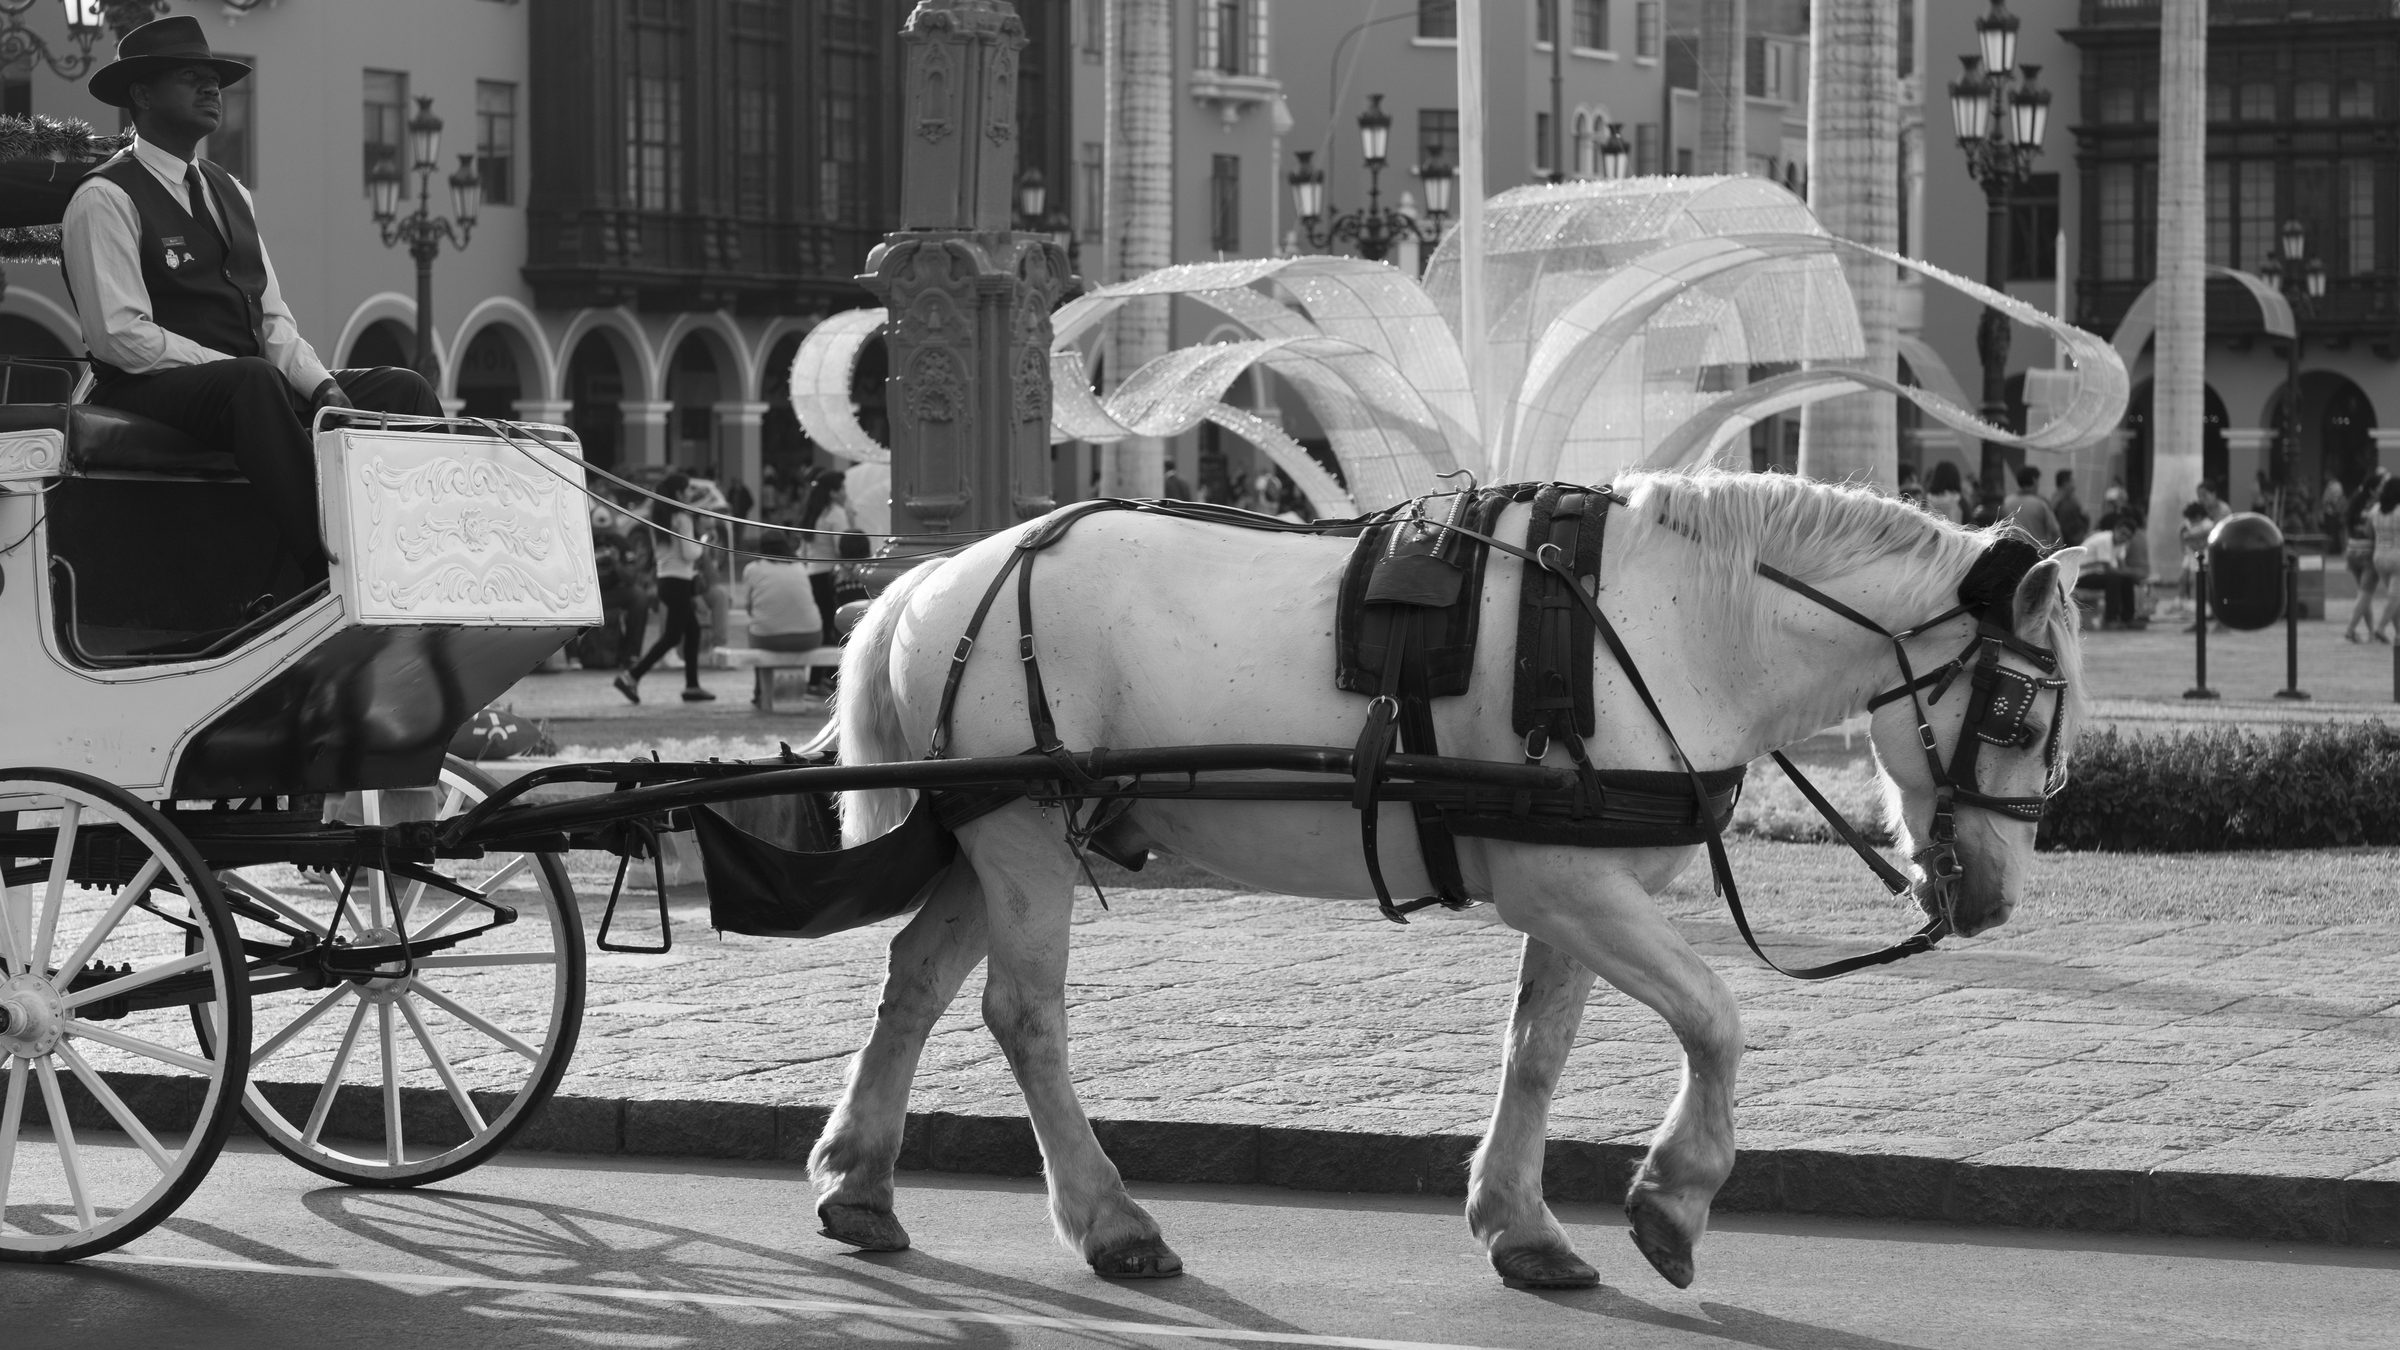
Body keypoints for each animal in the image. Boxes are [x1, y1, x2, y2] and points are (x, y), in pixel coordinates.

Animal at [805, 468, 2086, 1290]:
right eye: (2020, 712)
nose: (1994, 899)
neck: (1662, 624)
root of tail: (939, 575)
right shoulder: (1567, 887)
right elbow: (1716, 1019)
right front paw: (1673, 1198)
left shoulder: (1574, 881)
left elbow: (1537, 1051)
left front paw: (1520, 1224)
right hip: (1025, 834)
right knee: (1023, 1015)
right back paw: (1109, 1220)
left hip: (992, 830)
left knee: (915, 979)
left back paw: (861, 1181)